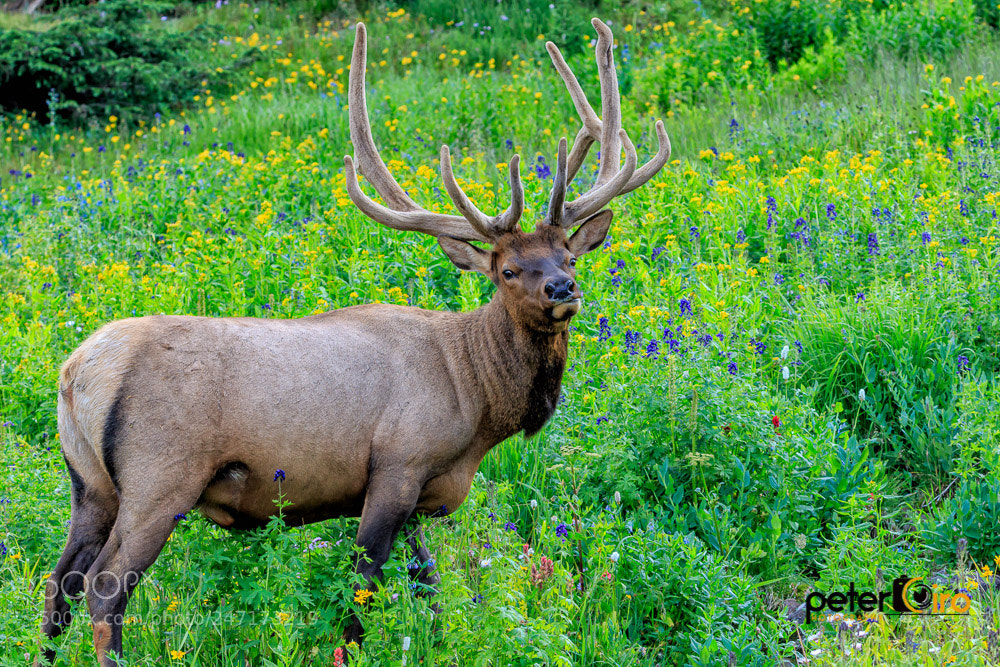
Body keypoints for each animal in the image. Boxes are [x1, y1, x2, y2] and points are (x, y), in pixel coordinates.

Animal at [38, 18, 670, 666]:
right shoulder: (398, 463)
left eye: (569, 255)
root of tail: (76, 371)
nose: (563, 288)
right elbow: (361, 590)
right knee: (105, 586)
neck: (476, 399)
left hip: (88, 483)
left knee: (60, 582)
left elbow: (429, 586)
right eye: (508, 271)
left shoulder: (419, 492)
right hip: (159, 477)